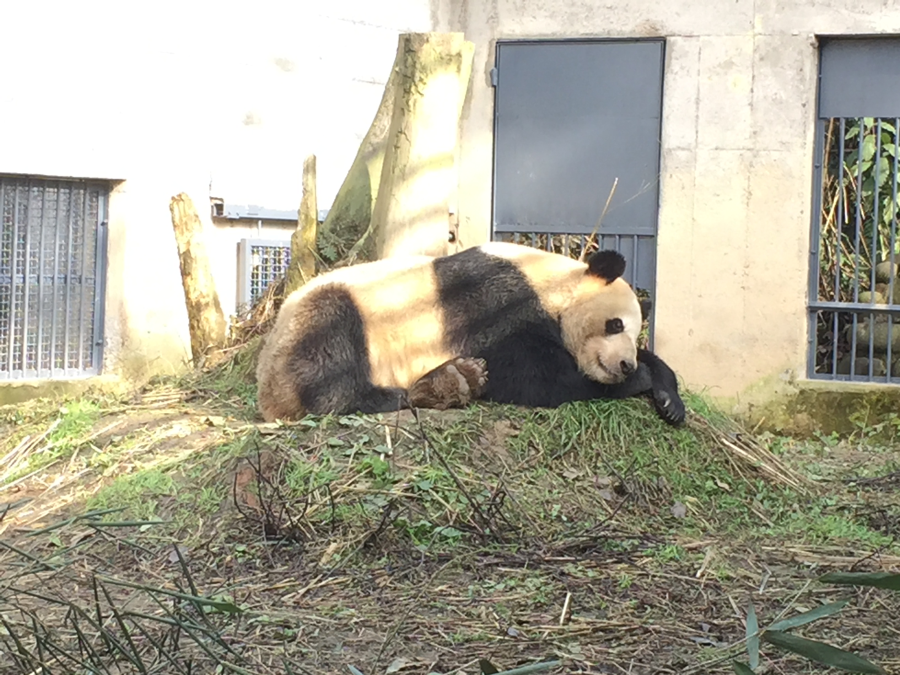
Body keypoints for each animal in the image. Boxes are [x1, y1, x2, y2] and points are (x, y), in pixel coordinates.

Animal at [256, 240, 684, 426]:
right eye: (615, 325)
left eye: (635, 334)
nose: (625, 365)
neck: (551, 285)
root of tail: (269, 393)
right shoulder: (496, 304)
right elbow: (537, 380)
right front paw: (642, 380)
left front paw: (668, 398)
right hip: (327, 319)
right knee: (330, 355)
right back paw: (401, 394)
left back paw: (451, 382)